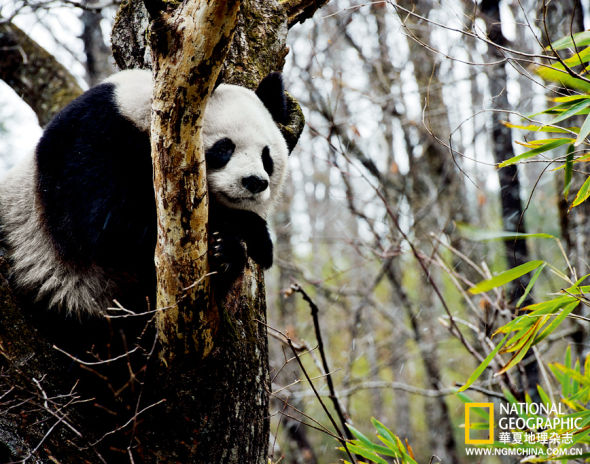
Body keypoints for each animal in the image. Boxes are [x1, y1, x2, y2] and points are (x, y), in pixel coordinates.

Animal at [0, 69, 296, 318]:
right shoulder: (92, 135)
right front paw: (247, 235)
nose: (255, 182)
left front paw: (229, 252)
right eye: (224, 148)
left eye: (267, 157)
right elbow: (108, 223)